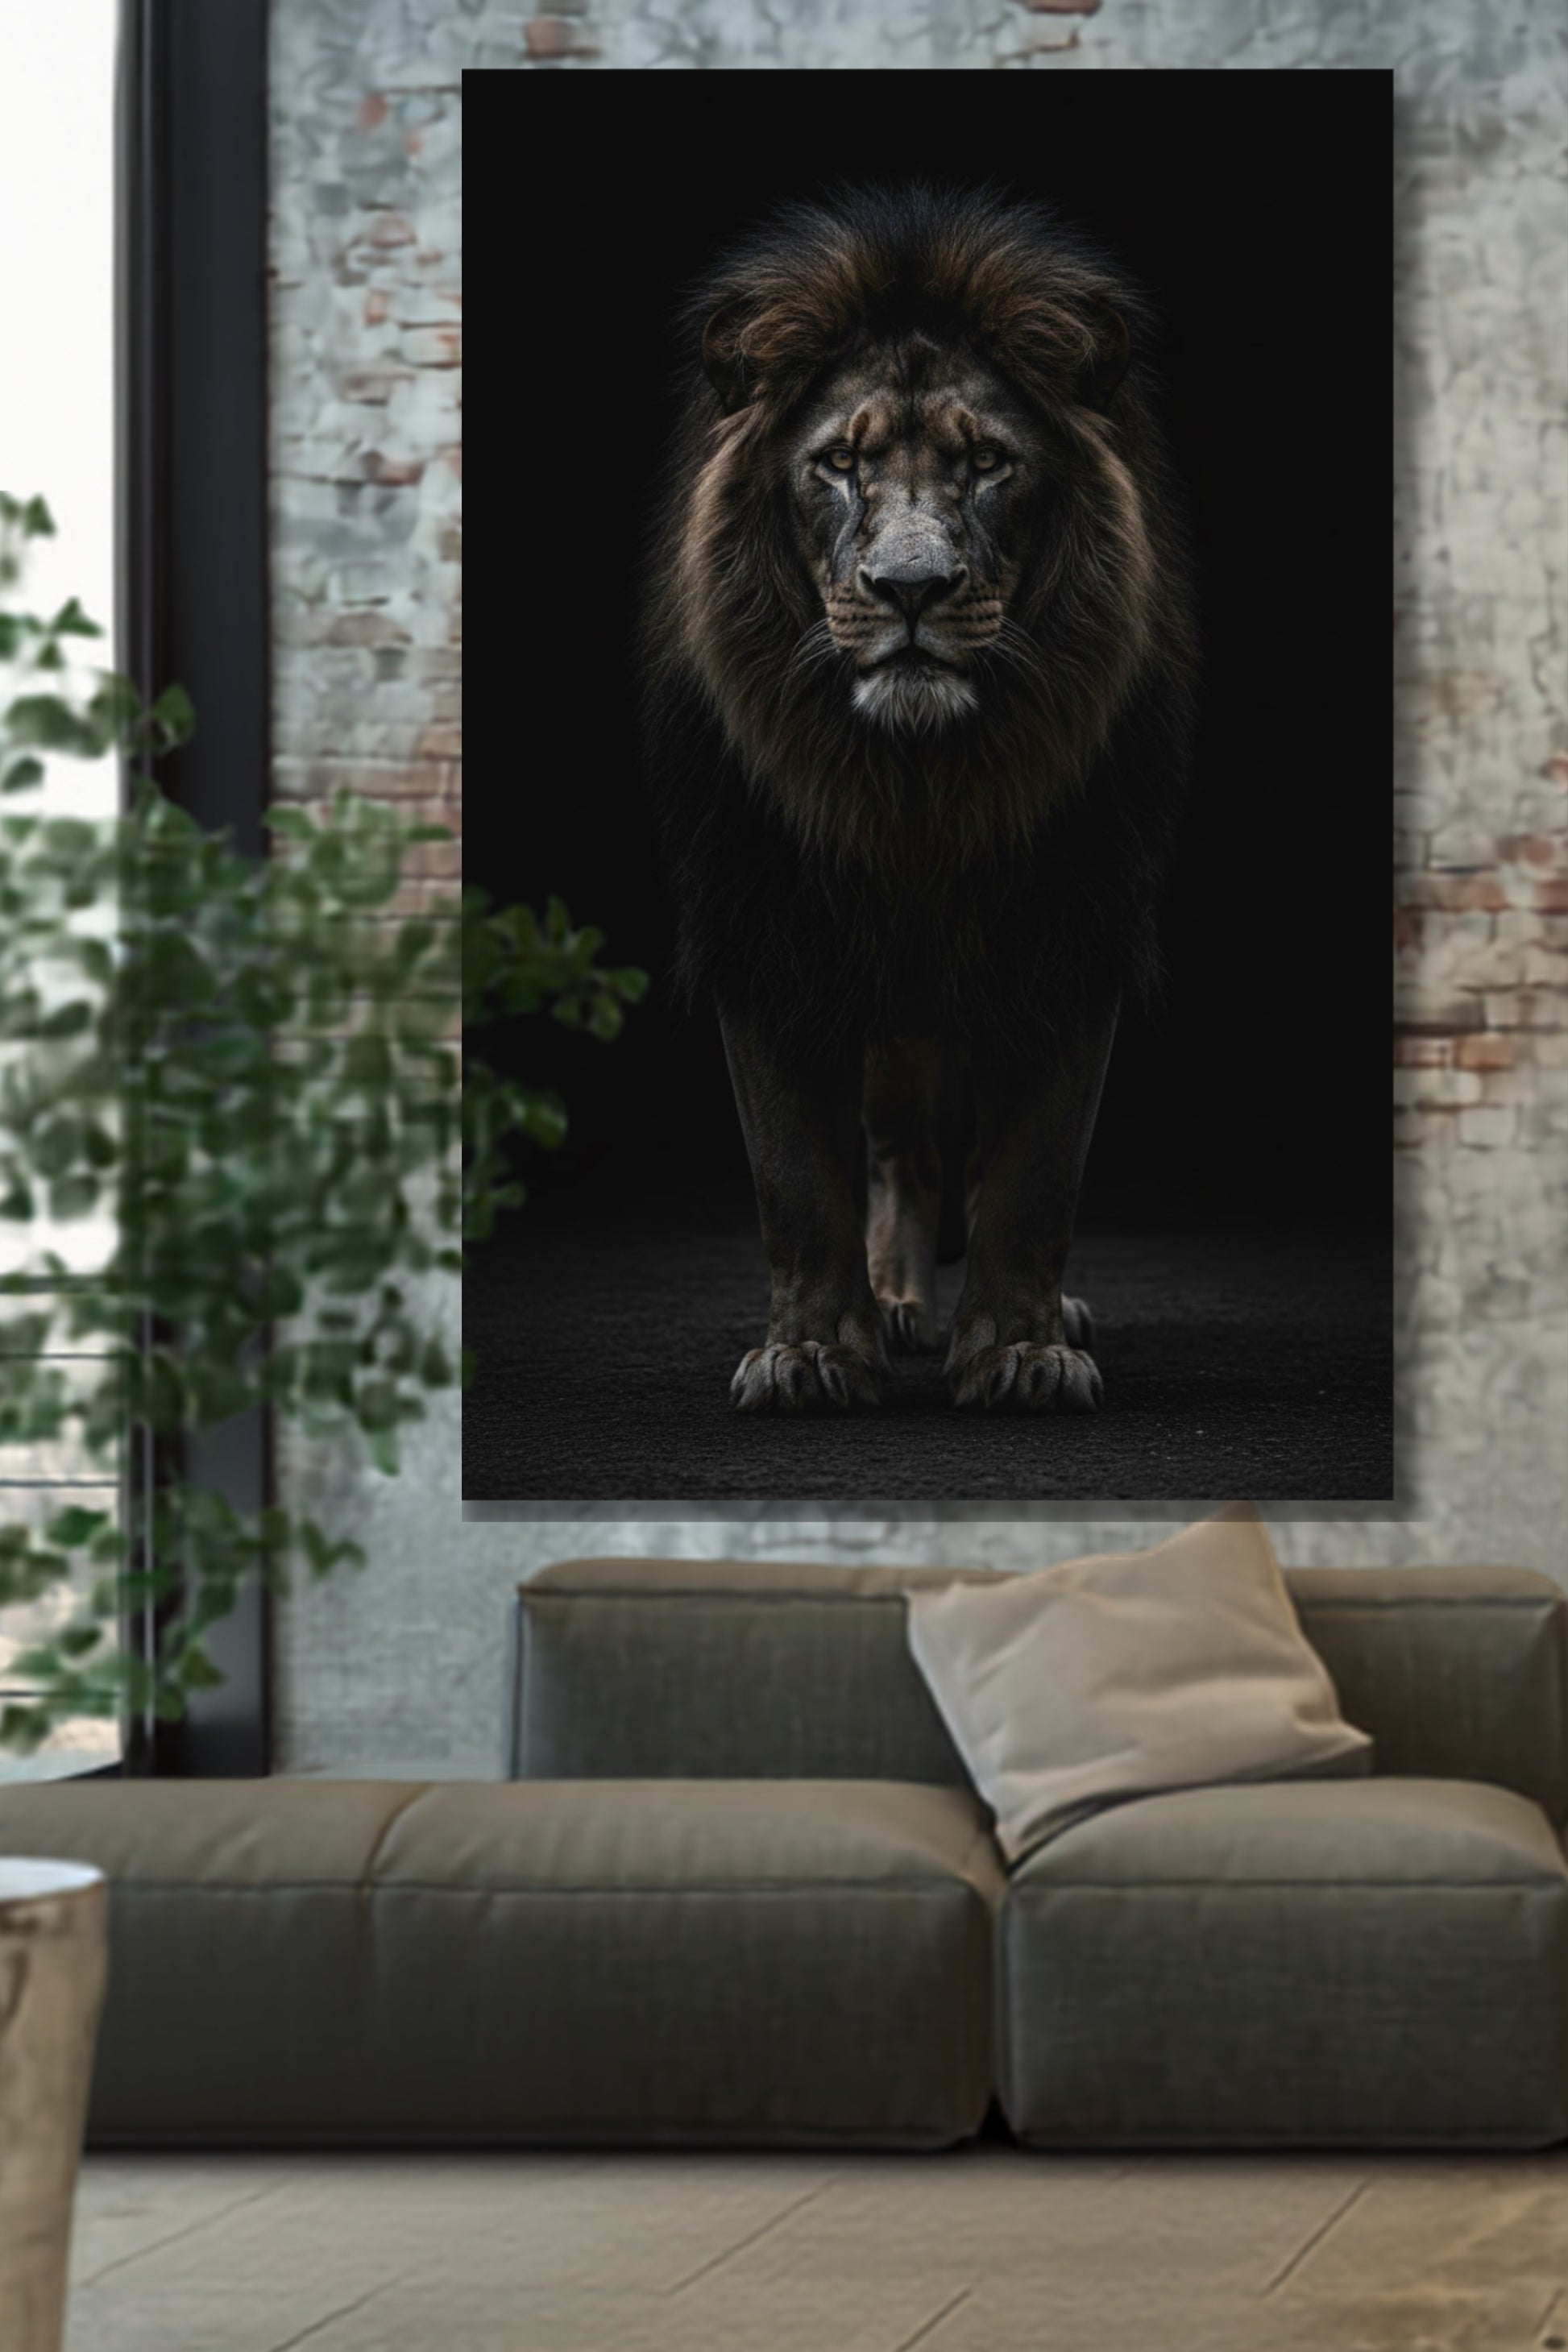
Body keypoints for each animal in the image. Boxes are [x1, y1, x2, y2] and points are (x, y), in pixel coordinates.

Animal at [640, 184, 1197, 1414]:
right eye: (837, 465)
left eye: (986, 461)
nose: (908, 589)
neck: (918, 786)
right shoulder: (765, 929)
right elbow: (797, 1181)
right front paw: (809, 1355)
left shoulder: (1070, 930)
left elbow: (1035, 1174)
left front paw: (1020, 1351)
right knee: (900, 1149)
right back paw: (896, 1303)